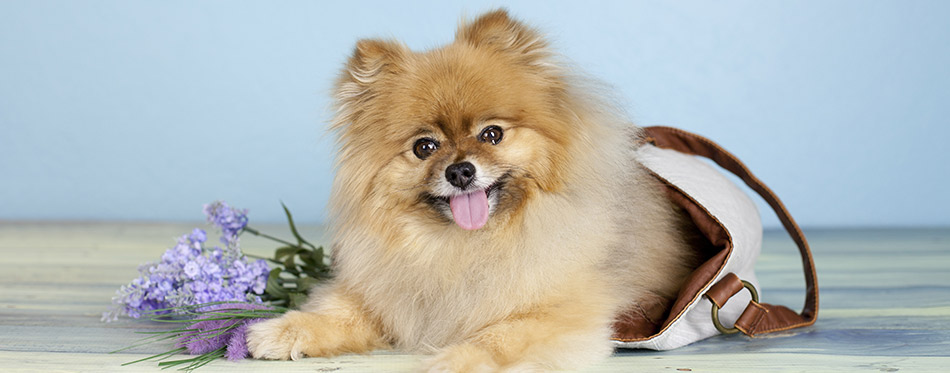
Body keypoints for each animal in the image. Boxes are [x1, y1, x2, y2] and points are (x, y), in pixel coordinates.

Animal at [249, 10, 700, 370]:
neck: (466, 247)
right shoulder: (390, 294)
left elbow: (499, 337)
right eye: (424, 147)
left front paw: (455, 359)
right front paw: (282, 331)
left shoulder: (559, 312)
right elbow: (338, 312)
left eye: (492, 134)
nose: (461, 171)